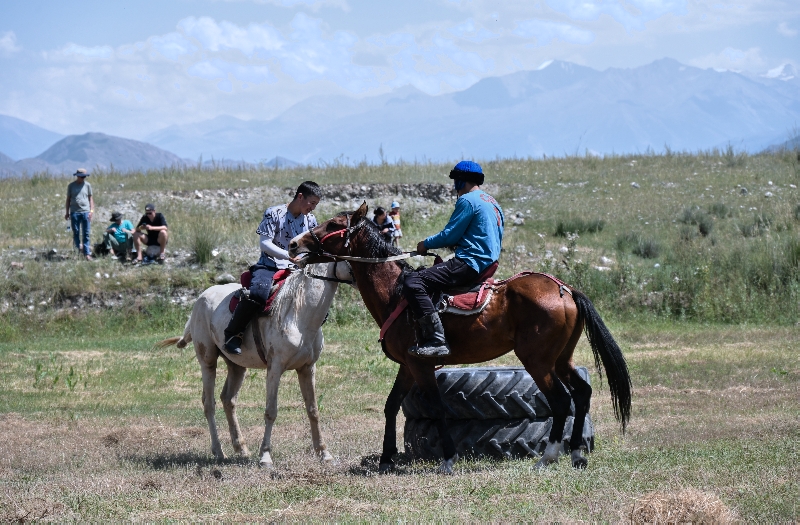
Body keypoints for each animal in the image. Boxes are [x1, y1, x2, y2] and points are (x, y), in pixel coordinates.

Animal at [155, 262, 354, 468]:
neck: (298, 313)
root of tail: (202, 298)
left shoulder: (307, 368)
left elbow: (313, 410)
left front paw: (324, 453)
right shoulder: (275, 368)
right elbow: (271, 411)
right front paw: (265, 456)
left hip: (237, 367)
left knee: (228, 400)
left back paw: (241, 448)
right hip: (207, 361)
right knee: (209, 403)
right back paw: (218, 452)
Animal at [288, 203, 631, 474]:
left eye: (334, 225)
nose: (293, 244)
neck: (397, 292)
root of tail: (565, 289)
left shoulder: (422, 366)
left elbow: (438, 407)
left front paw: (448, 458)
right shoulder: (408, 365)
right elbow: (391, 406)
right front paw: (386, 458)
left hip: (538, 361)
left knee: (560, 400)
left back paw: (547, 457)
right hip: (561, 359)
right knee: (582, 393)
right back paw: (575, 455)